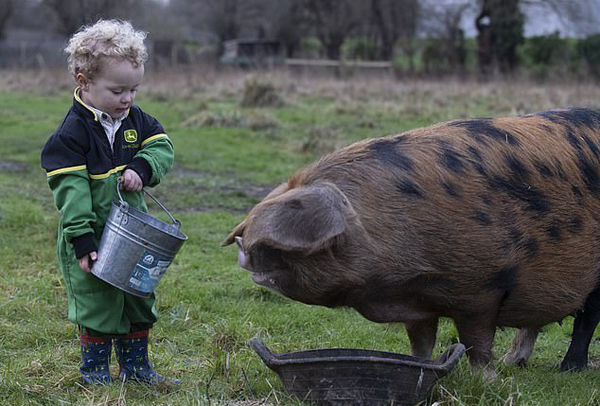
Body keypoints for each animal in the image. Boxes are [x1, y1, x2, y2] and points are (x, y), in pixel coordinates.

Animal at [224, 107, 600, 372]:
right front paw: (424, 365)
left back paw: (568, 370)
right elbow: (420, 342)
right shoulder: (418, 303)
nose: (241, 249)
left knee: (586, 318)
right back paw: (515, 363)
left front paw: (486, 379)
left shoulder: (483, 288)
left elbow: (477, 342)